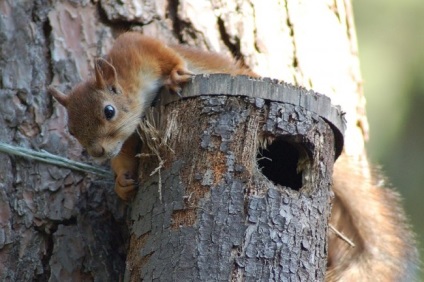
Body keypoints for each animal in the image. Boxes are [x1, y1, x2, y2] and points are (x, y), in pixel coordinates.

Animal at [48, 32, 416, 280]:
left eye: (108, 111)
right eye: (72, 130)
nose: (97, 152)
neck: (131, 88)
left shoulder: (139, 49)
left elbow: (166, 57)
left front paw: (176, 74)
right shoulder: (133, 132)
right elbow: (125, 154)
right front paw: (122, 181)